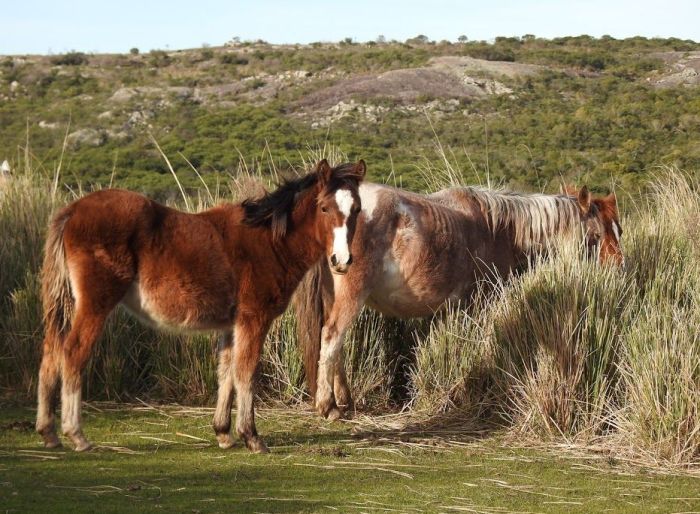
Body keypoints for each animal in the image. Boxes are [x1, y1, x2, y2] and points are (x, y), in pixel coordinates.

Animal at [37, 159, 366, 452]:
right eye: (324, 208)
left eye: (357, 210)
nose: (341, 261)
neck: (270, 242)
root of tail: (71, 210)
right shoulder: (254, 318)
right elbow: (246, 371)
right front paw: (252, 436)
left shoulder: (232, 325)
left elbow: (226, 371)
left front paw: (223, 433)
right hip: (95, 303)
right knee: (73, 352)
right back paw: (76, 435)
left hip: (68, 304)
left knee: (51, 352)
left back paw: (48, 432)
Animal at [296, 182, 624, 418]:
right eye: (595, 235)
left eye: (618, 230)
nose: (617, 268)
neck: (498, 230)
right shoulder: (480, 303)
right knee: (332, 337)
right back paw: (328, 406)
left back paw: (345, 401)